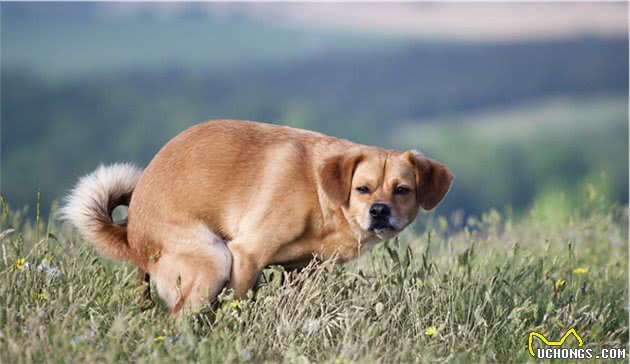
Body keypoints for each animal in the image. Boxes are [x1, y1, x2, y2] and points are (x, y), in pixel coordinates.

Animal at [60, 119, 454, 316]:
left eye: (402, 190)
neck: (320, 193)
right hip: (213, 258)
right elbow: (238, 302)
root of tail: (131, 235)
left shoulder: (301, 270)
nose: (379, 210)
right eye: (363, 189)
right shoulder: (246, 255)